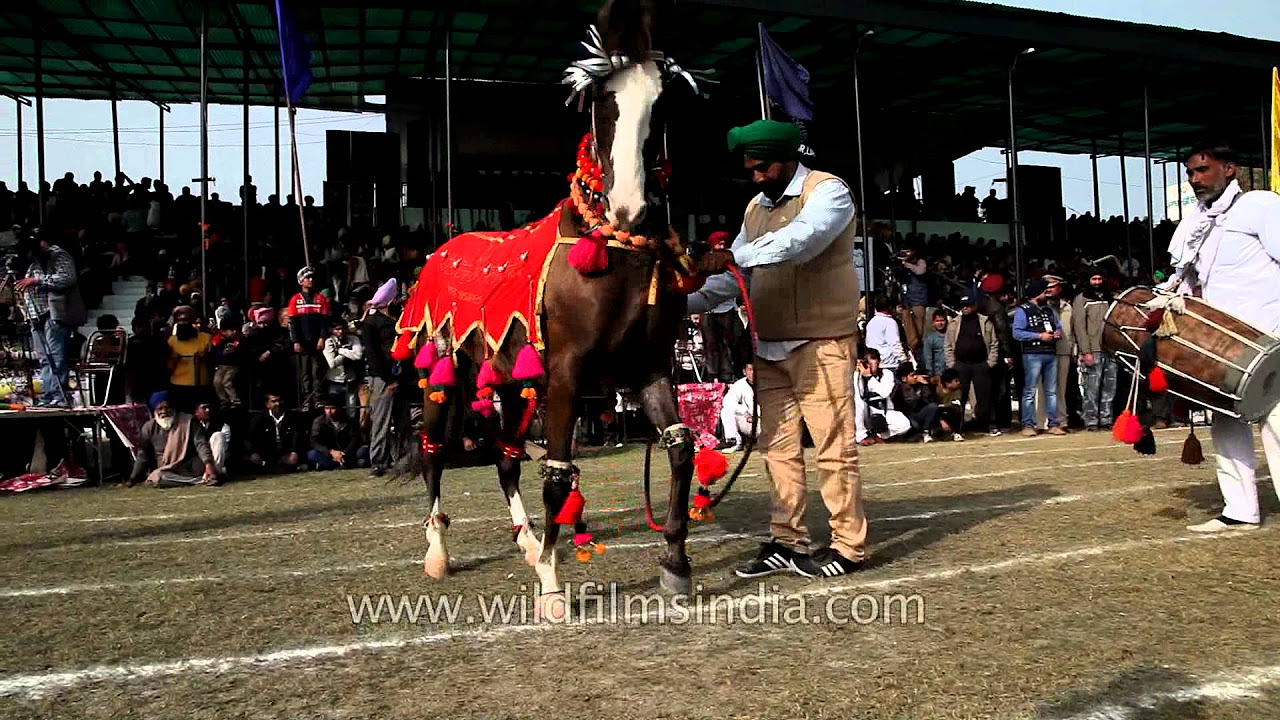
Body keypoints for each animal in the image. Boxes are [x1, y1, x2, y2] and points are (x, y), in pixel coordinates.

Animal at [394, 1, 706, 617]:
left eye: (662, 103)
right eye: (602, 101)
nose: (631, 208)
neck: (616, 249)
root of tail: (440, 248)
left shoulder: (650, 367)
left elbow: (681, 450)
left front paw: (675, 564)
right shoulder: (566, 373)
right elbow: (559, 475)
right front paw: (554, 588)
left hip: (513, 381)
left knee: (506, 456)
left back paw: (528, 542)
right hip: (443, 371)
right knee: (434, 452)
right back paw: (440, 552)